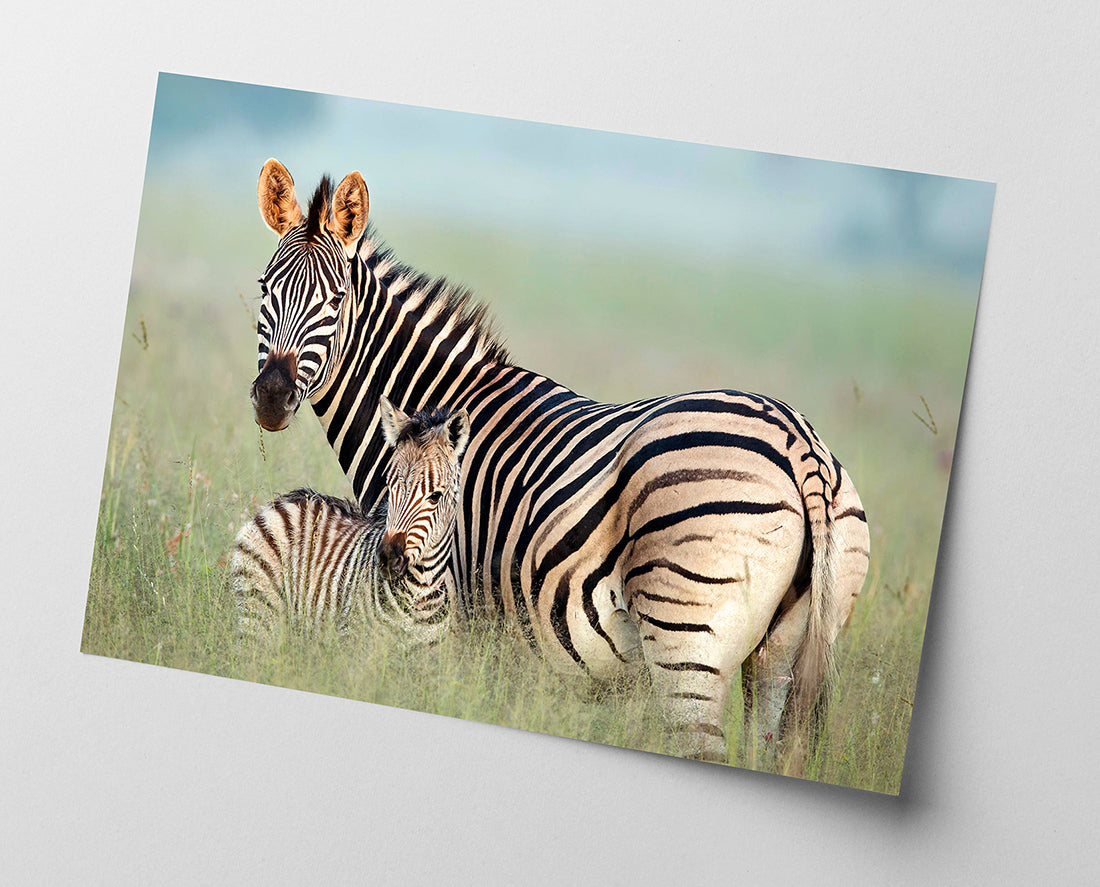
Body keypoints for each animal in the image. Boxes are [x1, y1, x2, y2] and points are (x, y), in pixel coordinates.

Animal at [229, 396, 470, 646]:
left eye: (435, 496)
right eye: (390, 487)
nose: (387, 558)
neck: (420, 592)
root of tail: (286, 498)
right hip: (258, 614)